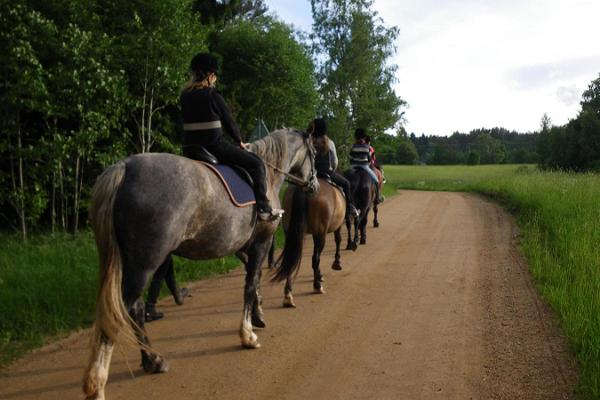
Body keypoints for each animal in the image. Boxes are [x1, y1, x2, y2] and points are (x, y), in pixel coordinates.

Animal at [83, 128, 324, 400]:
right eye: (314, 153)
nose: (315, 185)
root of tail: (124, 167)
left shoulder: (242, 248)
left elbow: (254, 282)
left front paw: (258, 316)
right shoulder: (260, 244)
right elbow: (250, 284)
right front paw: (247, 334)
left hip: (132, 263)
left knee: (134, 309)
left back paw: (152, 360)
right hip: (144, 264)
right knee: (119, 313)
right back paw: (97, 383)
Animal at [272, 177, 346, 308]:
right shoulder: (335, 227)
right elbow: (338, 240)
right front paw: (337, 263)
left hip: (291, 232)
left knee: (290, 260)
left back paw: (288, 296)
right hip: (320, 234)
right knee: (315, 258)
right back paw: (317, 286)